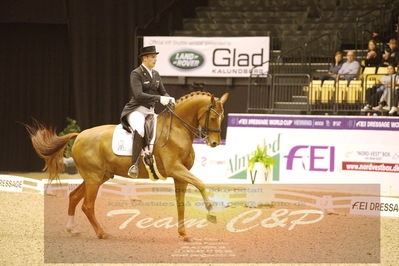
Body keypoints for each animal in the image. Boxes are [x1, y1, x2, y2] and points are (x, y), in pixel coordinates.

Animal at [26, 91, 230, 241]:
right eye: (213, 117)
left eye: (222, 117)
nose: (214, 143)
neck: (176, 130)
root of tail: (80, 135)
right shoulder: (176, 169)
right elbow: (201, 183)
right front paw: (211, 212)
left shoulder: (180, 176)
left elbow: (181, 204)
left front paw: (184, 234)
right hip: (93, 178)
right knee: (87, 205)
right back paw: (101, 233)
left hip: (98, 177)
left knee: (74, 197)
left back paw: (72, 229)